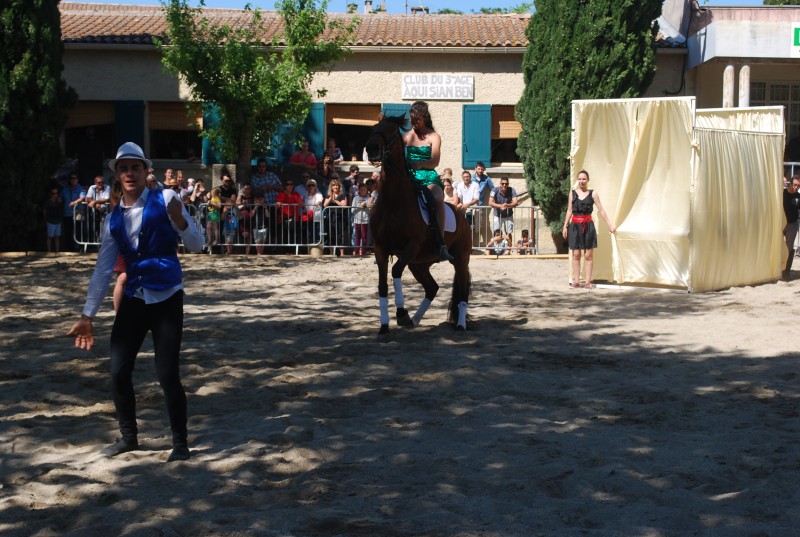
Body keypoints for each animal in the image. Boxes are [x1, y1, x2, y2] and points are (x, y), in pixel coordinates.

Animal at [364, 116, 472, 336]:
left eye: (391, 131)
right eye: (374, 128)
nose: (371, 148)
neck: (393, 201)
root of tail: (461, 214)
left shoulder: (411, 245)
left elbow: (396, 271)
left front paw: (401, 313)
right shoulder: (380, 248)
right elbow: (382, 285)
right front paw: (384, 327)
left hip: (460, 260)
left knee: (462, 291)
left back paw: (460, 325)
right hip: (419, 264)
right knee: (432, 288)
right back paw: (414, 320)